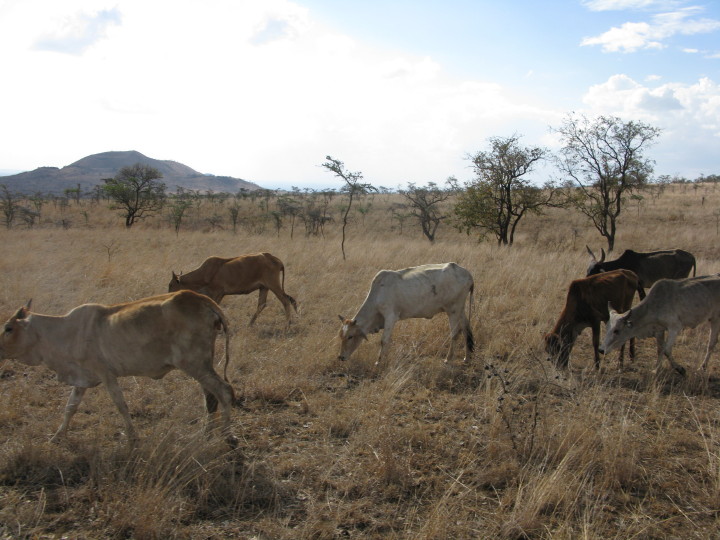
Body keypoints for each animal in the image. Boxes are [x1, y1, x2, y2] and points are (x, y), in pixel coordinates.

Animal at [0, 291, 236, 445]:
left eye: (8, 328)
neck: (65, 331)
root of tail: (203, 300)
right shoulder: (82, 379)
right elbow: (70, 407)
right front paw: (57, 436)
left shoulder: (106, 375)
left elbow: (121, 405)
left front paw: (133, 437)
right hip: (202, 365)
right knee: (211, 396)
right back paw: (208, 432)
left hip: (194, 365)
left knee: (224, 391)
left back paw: (228, 435)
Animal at [168, 252, 297, 327]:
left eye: (170, 285)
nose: (168, 296)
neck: (206, 273)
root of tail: (274, 259)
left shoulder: (217, 293)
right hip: (264, 287)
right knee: (262, 304)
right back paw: (250, 324)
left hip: (273, 285)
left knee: (285, 301)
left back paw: (287, 324)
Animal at [337, 262, 474, 365]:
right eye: (341, 336)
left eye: (350, 336)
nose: (341, 357)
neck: (378, 294)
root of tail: (467, 273)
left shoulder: (390, 316)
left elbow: (384, 340)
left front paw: (379, 362)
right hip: (460, 309)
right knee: (466, 329)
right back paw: (467, 358)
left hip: (453, 310)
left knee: (455, 333)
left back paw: (448, 359)